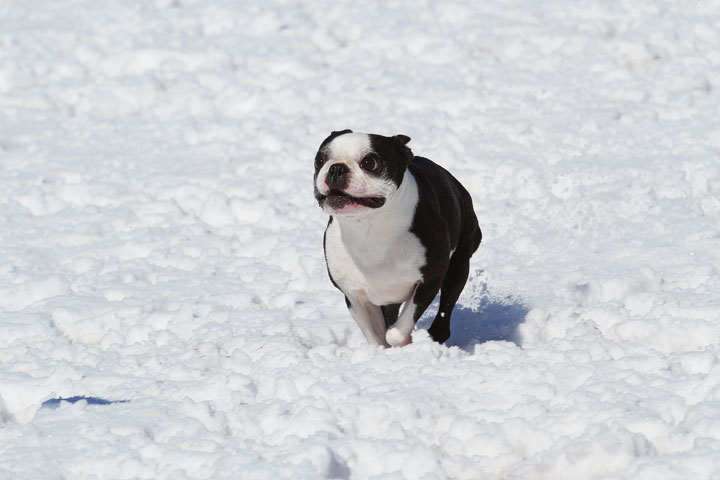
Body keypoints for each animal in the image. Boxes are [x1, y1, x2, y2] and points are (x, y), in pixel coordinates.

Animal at [312, 130, 480, 348]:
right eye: (319, 160)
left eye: (370, 163)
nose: (336, 168)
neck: (369, 228)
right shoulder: (355, 295)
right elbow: (375, 336)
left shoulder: (430, 280)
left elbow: (396, 331)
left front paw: (403, 341)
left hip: (459, 264)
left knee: (446, 309)